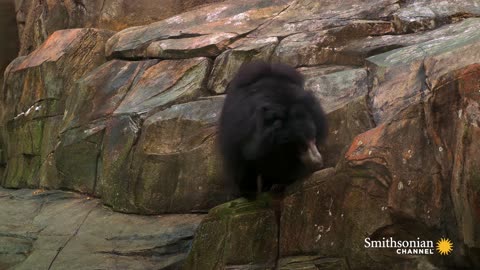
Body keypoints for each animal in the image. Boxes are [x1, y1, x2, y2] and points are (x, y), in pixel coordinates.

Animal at [218, 61, 328, 198]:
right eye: (300, 143)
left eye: (314, 138)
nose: (318, 163)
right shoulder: (241, 135)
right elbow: (244, 162)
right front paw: (248, 193)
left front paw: (283, 182)